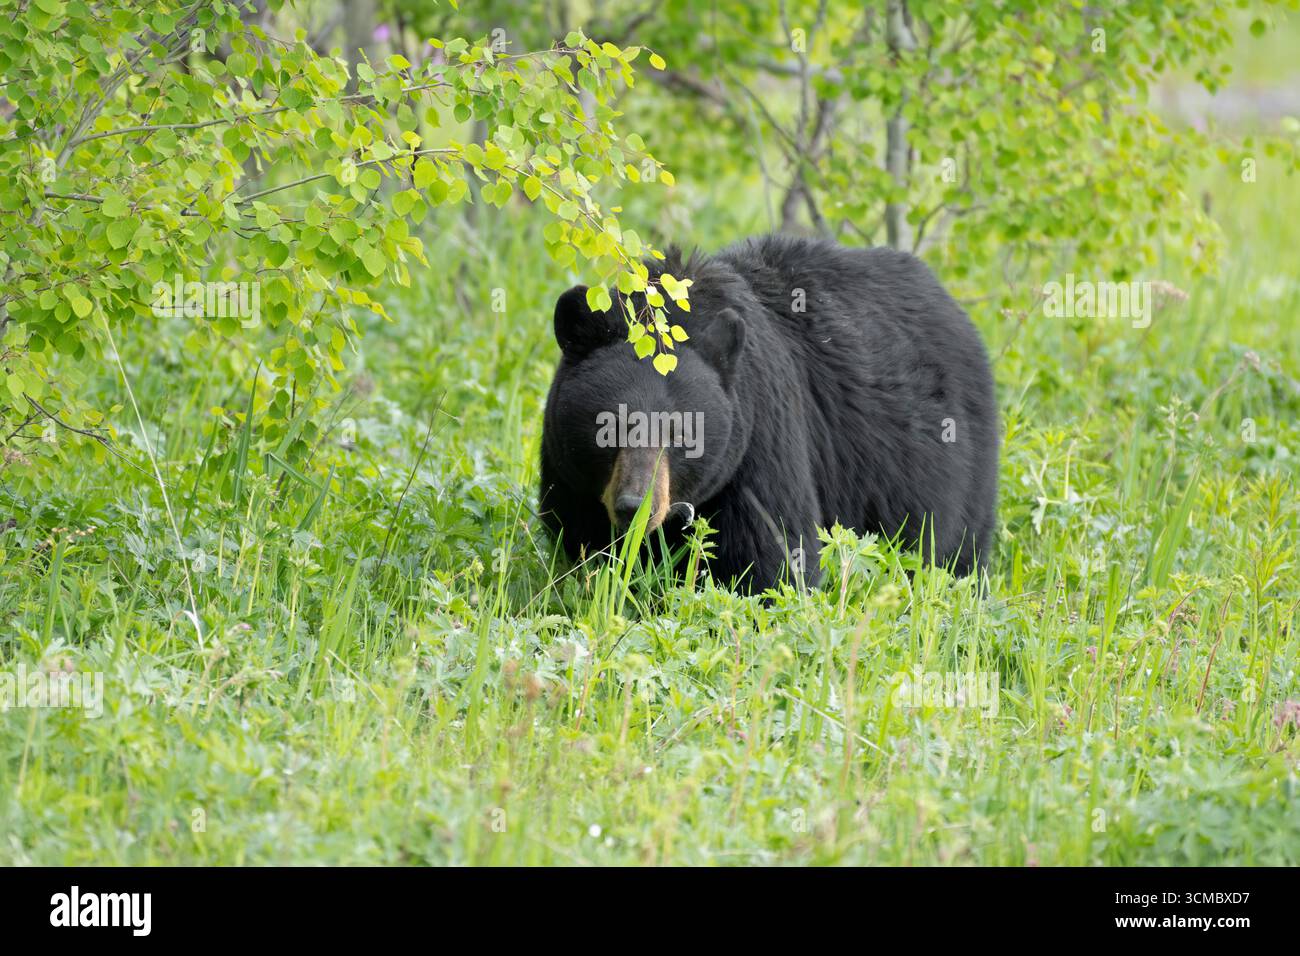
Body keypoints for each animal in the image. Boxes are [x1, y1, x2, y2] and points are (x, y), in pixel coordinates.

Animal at [539, 234, 999, 594]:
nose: (635, 506)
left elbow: (772, 556)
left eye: (683, 434)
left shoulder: (759, 440)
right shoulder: (572, 479)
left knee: (955, 549)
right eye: (608, 427)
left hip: (953, 471)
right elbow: (579, 542)